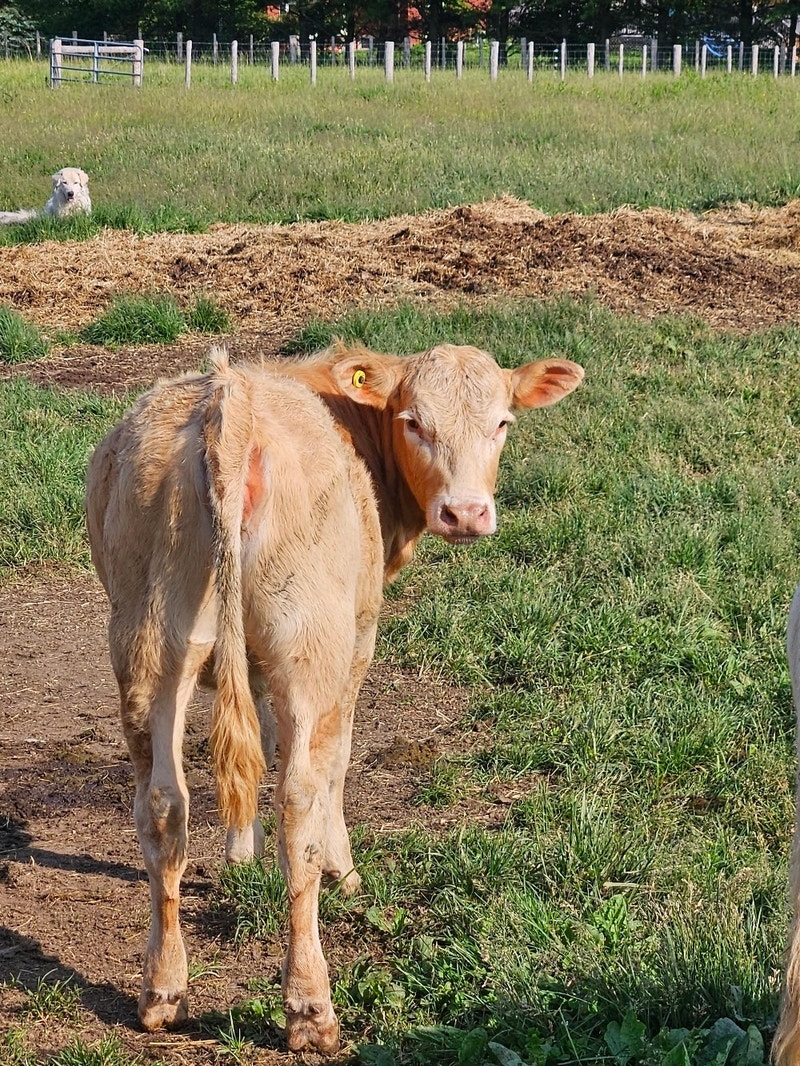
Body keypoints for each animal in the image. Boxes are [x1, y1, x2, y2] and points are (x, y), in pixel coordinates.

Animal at [85, 340, 584, 1054]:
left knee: (162, 803)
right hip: (310, 642)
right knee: (299, 799)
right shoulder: (357, 639)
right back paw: (310, 1005)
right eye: (413, 421)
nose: (465, 513)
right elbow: (334, 764)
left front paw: (240, 852)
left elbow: (256, 736)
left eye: (502, 423)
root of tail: (229, 397)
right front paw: (342, 871)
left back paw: (162, 991)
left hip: (147, 645)